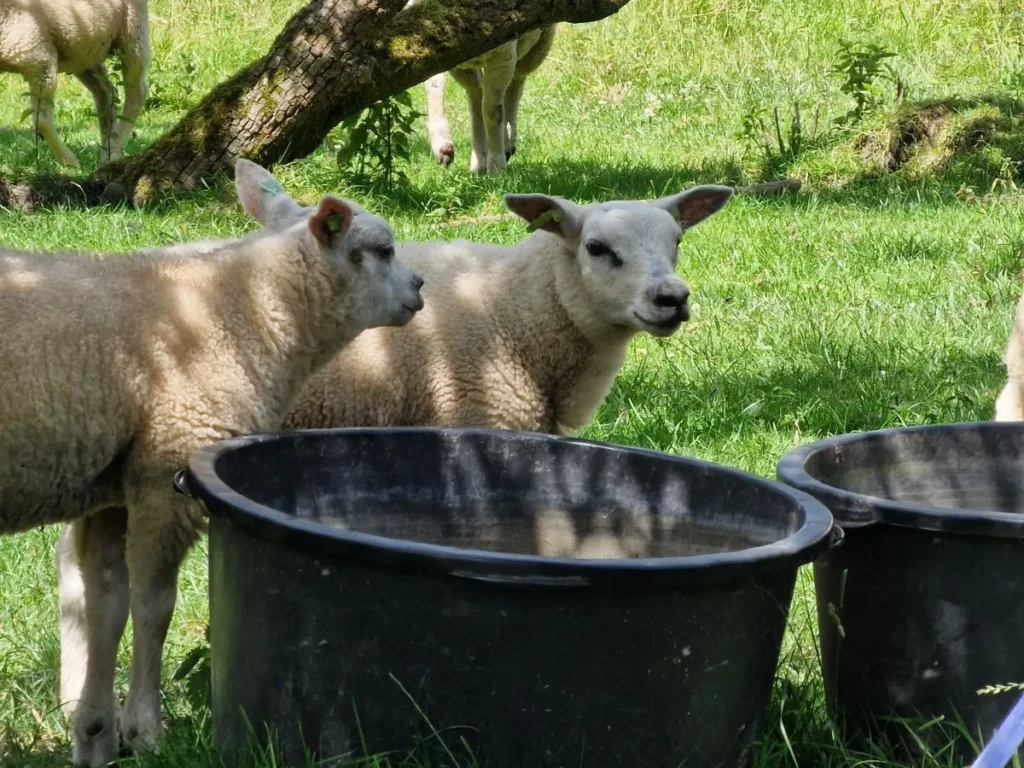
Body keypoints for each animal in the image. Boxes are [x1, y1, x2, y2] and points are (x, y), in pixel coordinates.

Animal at [0, 0, 149, 168]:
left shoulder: (42, 62)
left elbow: (41, 122)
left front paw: (70, 162)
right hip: (86, 50)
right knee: (106, 93)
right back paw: (107, 148)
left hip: (132, 33)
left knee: (137, 93)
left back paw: (113, 150)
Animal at [0, 159, 423, 765]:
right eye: (384, 250)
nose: (420, 287)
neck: (249, 314)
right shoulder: (168, 465)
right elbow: (154, 605)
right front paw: (144, 728)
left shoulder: (113, 487)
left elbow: (105, 603)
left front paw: (96, 732)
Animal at [423, 25, 557, 174]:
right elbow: (434, 85)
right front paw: (442, 147)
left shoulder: (502, 56)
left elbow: (491, 112)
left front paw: (496, 166)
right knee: (476, 93)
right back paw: (479, 162)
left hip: (540, 42)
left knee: (515, 83)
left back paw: (506, 143)